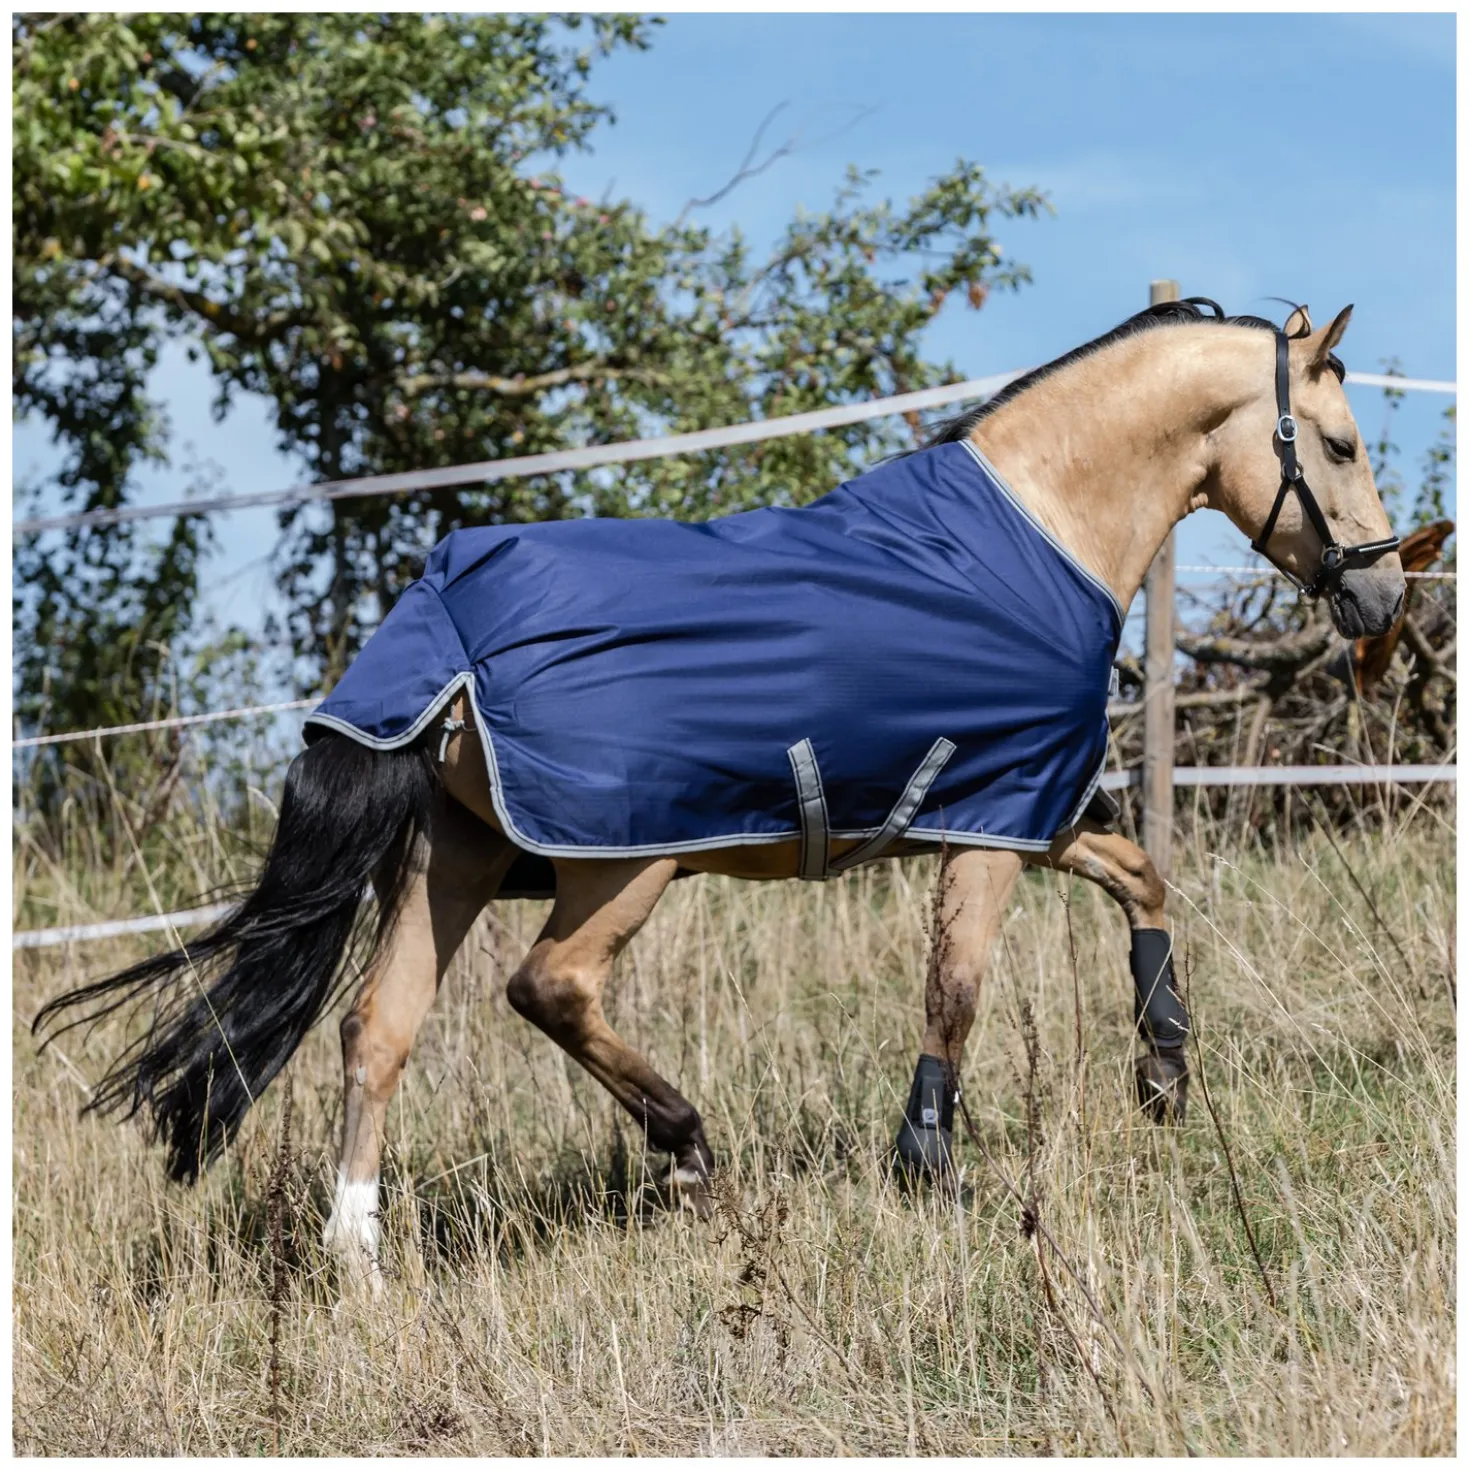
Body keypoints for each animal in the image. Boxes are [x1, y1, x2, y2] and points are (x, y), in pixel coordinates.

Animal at [35, 297, 1405, 1294]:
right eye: (1339, 445)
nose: (1381, 596)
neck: (1037, 528)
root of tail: (445, 621)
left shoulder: (1037, 808)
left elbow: (1141, 878)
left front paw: (1163, 1070)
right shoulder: (996, 817)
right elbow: (958, 991)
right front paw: (932, 1170)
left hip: (456, 857)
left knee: (378, 1033)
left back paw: (361, 1262)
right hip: (618, 861)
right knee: (549, 987)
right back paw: (688, 1149)